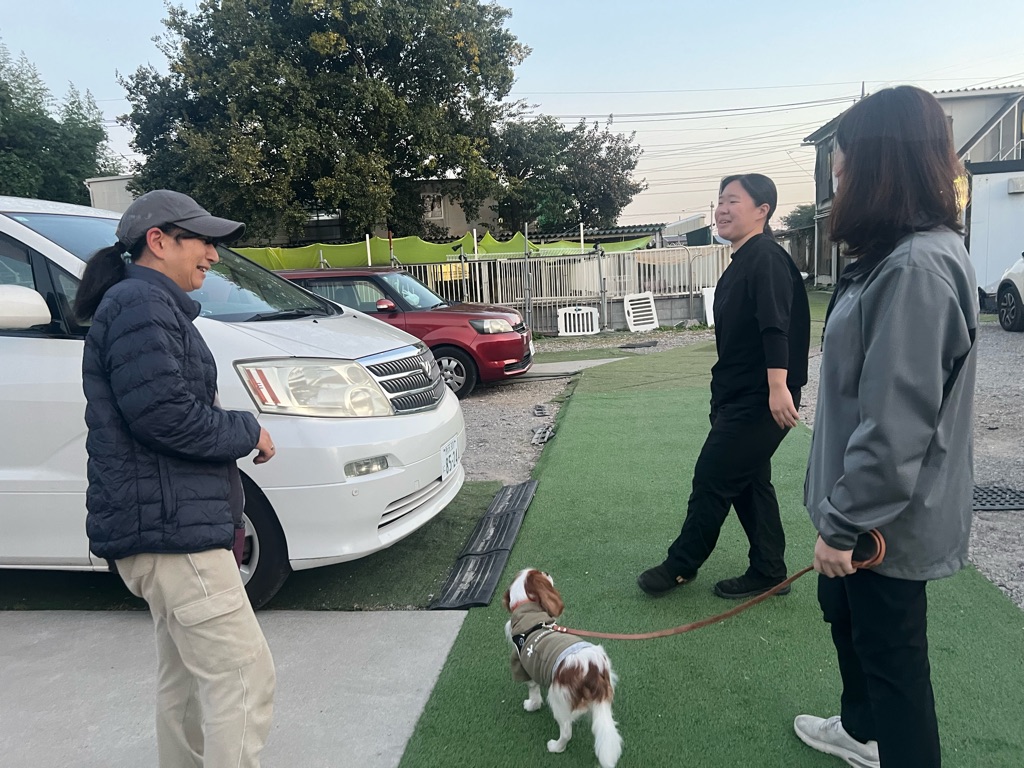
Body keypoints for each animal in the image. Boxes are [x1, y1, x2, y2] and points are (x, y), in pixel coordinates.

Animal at [502, 568, 623, 768]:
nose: (547, 571)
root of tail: (593, 671)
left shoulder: (523, 665)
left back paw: (556, 747)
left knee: (566, 731)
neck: (527, 610)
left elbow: (533, 691)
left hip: (558, 697)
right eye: (542, 573)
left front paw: (532, 705)